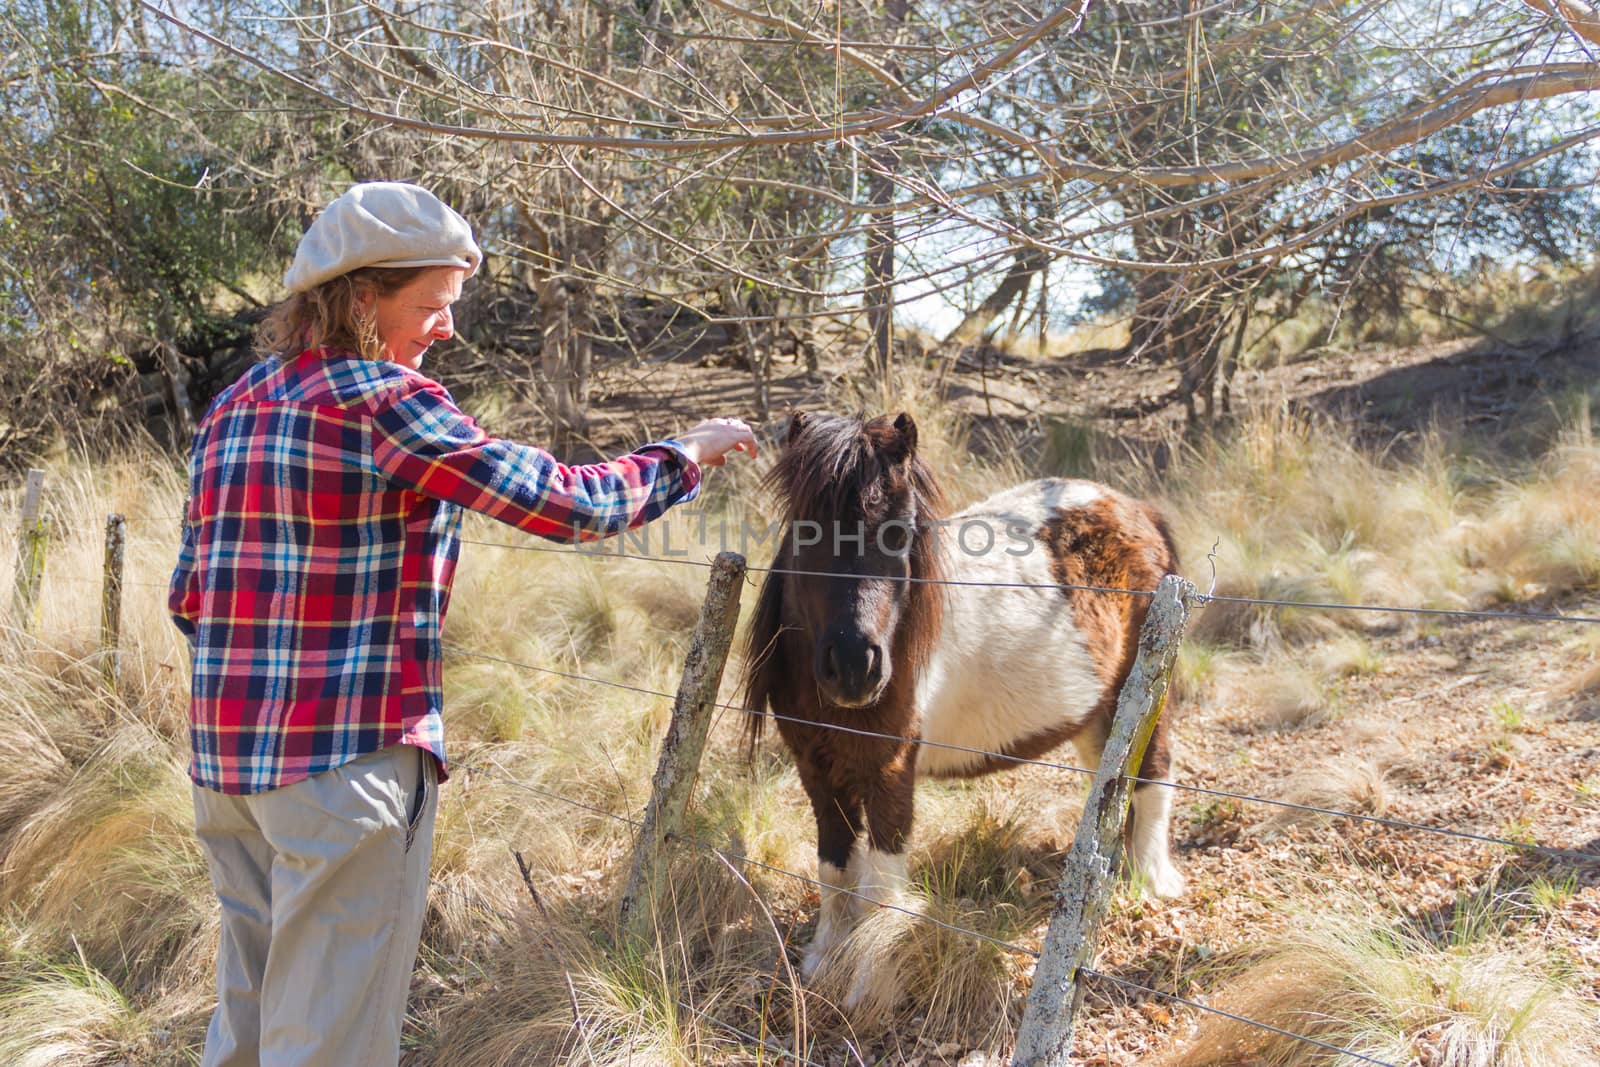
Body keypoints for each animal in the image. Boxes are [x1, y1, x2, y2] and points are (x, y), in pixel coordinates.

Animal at [742, 412, 1184, 991]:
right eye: (804, 527)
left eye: (901, 531)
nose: (856, 667)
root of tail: (1136, 509)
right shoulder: (815, 768)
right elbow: (834, 866)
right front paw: (823, 958)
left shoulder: (888, 769)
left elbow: (880, 884)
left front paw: (866, 976)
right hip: (1097, 711)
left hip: (1148, 694)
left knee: (1154, 776)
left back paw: (1149, 881)